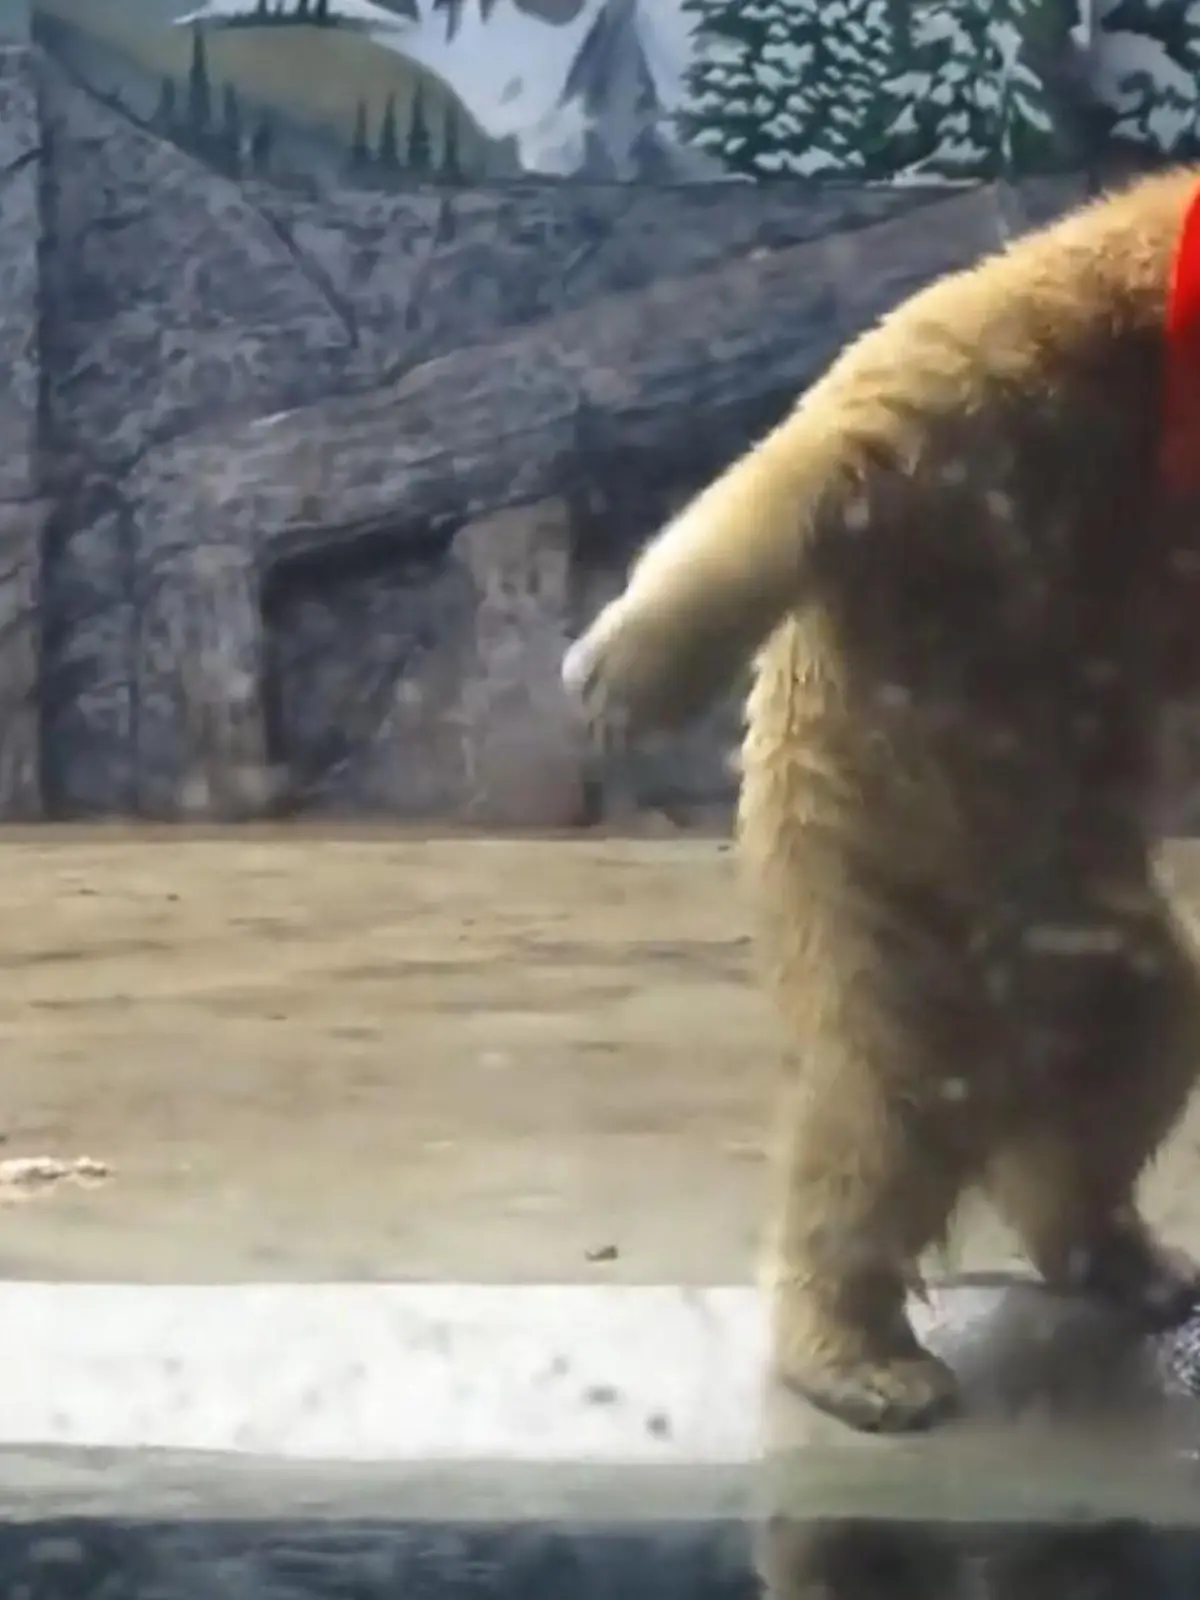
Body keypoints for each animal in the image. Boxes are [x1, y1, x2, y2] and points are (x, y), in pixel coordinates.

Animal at [560, 167, 1200, 1435]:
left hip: (1079, 916)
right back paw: (867, 1359)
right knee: (884, 1101)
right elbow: (821, 460)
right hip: (881, 873)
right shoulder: (1014, 363)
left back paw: (1127, 1253)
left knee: (1143, 1034)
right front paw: (617, 679)